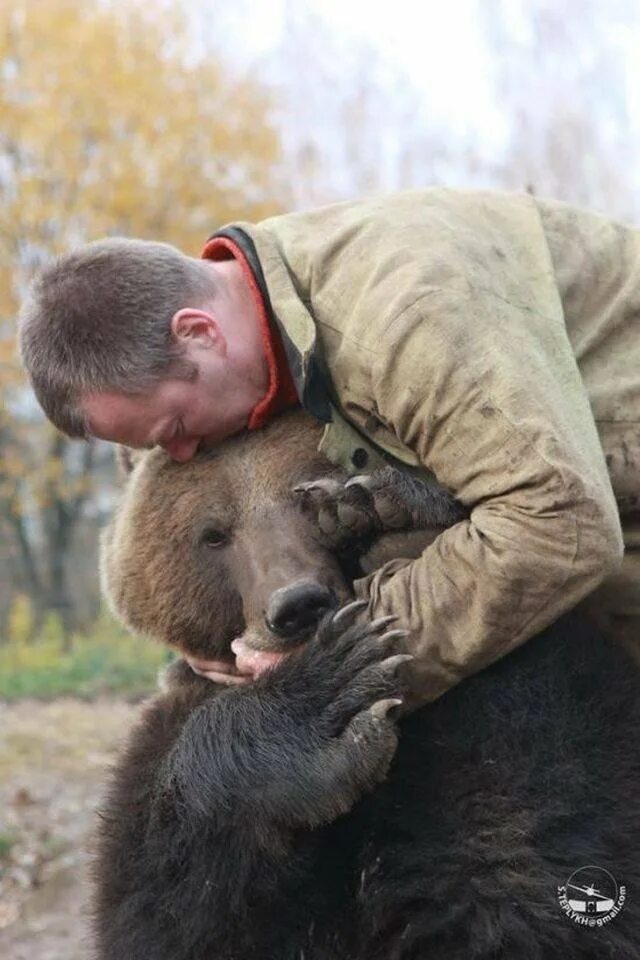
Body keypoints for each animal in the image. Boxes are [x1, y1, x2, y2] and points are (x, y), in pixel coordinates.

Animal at [94, 408, 640, 960]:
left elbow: (516, 842)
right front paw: (325, 698)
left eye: (305, 493)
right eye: (212, 534)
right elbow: (168, 900)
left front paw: (388, 518)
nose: (296, 605)